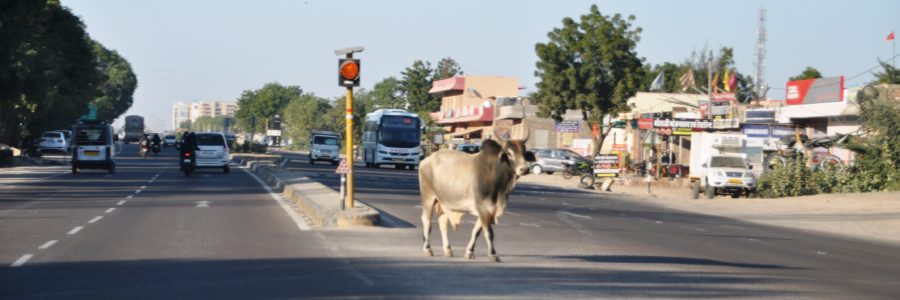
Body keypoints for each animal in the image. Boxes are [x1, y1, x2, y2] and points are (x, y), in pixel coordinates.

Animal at [416, 130, 536, 262]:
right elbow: (489, 232)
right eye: (509, 153)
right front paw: (493, 254)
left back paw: (448, 250)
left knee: (442, 222)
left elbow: (476, 231)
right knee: (427, 221)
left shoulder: (488, 209)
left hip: (445, 203)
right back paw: (428, 249)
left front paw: (469, 252)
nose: (525, 169)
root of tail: (427, 159)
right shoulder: (483, 208)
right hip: (428, 197)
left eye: (524, 152)